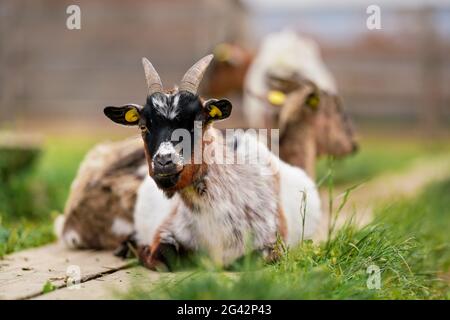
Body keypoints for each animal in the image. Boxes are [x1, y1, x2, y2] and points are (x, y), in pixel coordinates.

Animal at [103, 55, 320, 270]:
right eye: (143, 126)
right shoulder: (167, 230)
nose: (164, 161)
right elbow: (164, 256)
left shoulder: (272, 243)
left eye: (197, 123)